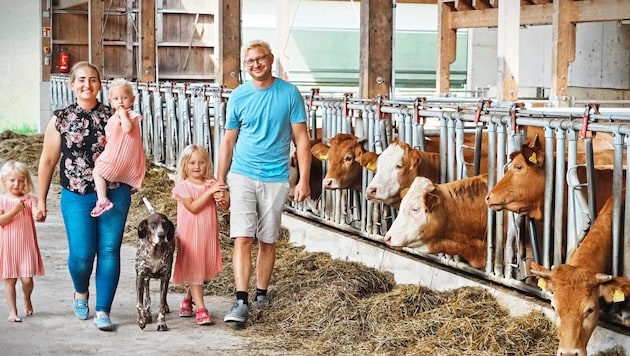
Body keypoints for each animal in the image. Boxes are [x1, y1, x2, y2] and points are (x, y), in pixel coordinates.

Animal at [136, 200, 175, 330]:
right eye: (153, 224)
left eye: (165, 224)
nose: (161, 235)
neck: (155, 252)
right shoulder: (140, 276)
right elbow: (140, 304)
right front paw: (142, 319)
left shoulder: (165, 277)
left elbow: (162, 304)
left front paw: (161, 323)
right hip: (145, 278)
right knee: (147, 296)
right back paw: (147, 314)